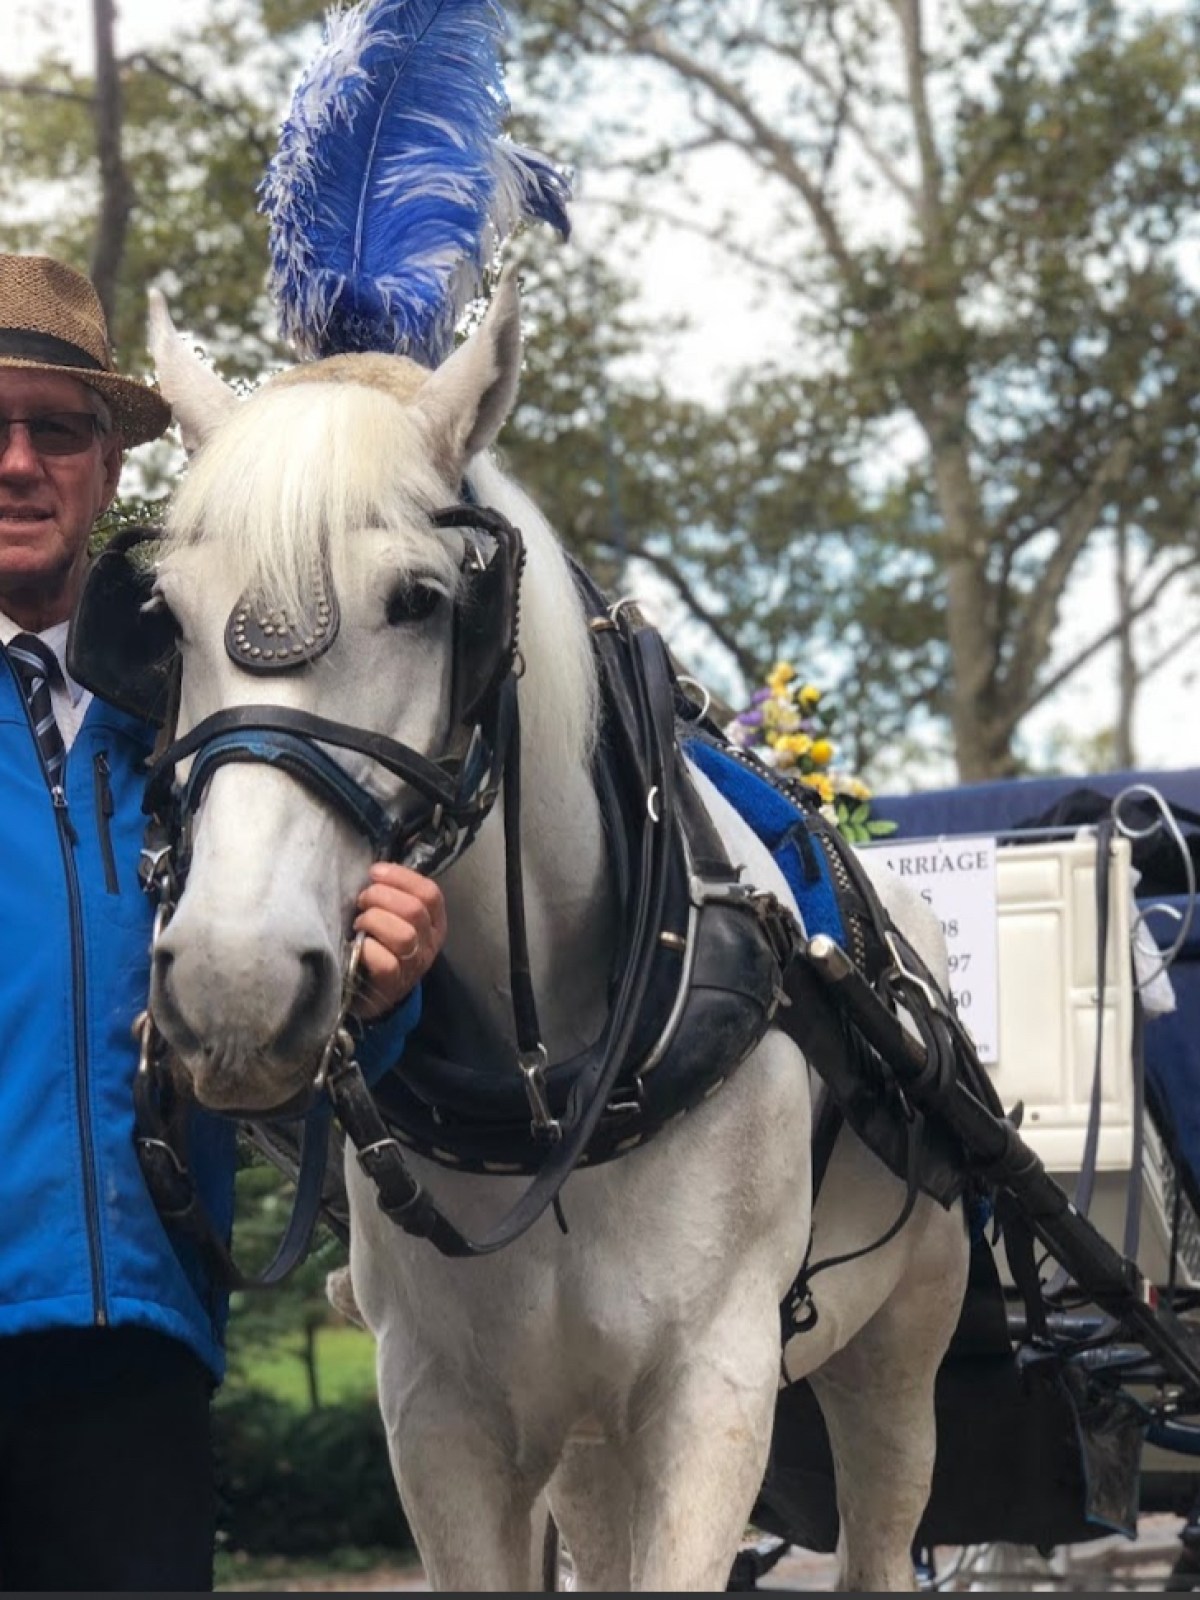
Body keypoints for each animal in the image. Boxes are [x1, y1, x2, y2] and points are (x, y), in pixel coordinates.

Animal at [141, 269, 970, 1592]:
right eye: (165, 618)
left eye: (423, 600)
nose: (233, 984)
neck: (555, 1084)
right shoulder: (441, 1411)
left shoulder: (712, 1387)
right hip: (588, 1431)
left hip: (899, 1340)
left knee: (883, 1531)